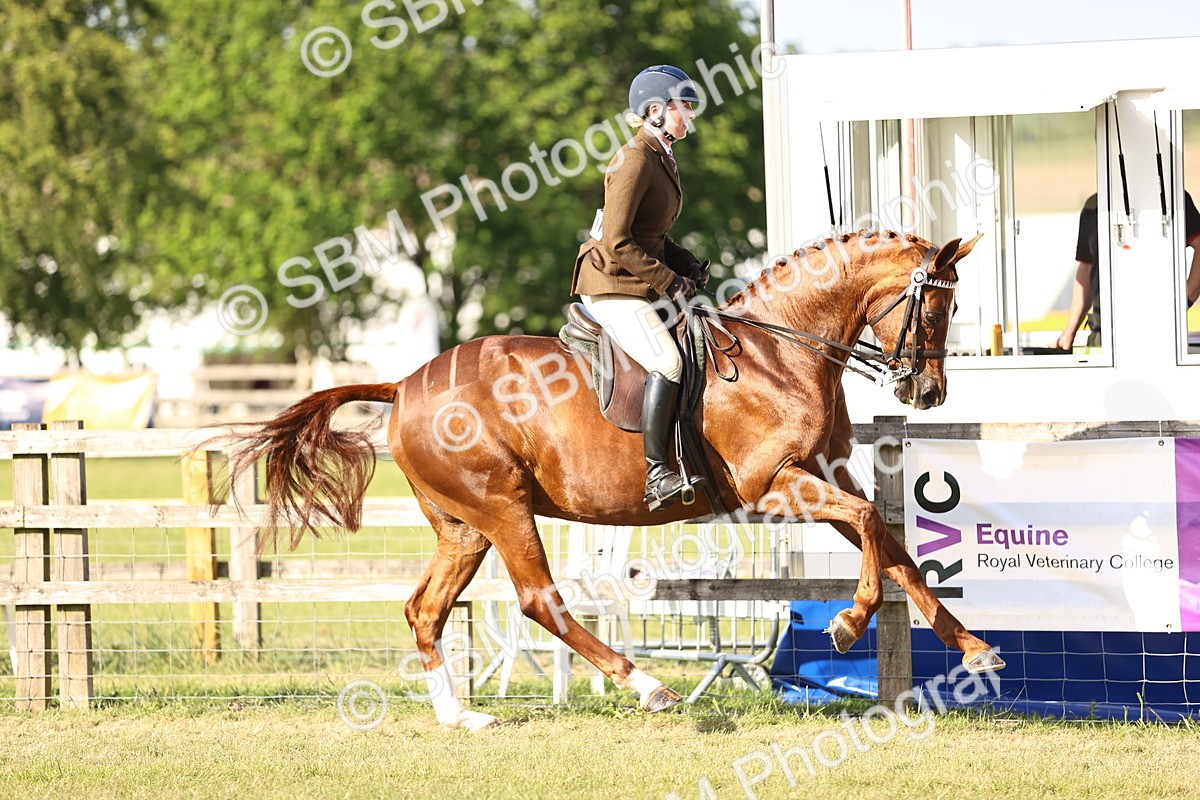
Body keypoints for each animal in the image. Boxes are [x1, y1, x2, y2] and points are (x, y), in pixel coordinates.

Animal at [223, 229, 1001, 731]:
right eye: (937, 307)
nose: (928, 393)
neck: (783, 350)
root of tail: (404, 384)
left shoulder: (822, 478)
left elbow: (896, 550)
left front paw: (973, 649)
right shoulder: (775, 487)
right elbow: (874, 531)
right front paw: (846, 623)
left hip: (463, 526)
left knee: (426, 609)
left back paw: (459, 716)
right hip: (504, 508)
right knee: (540, 602)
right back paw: (649, 687)